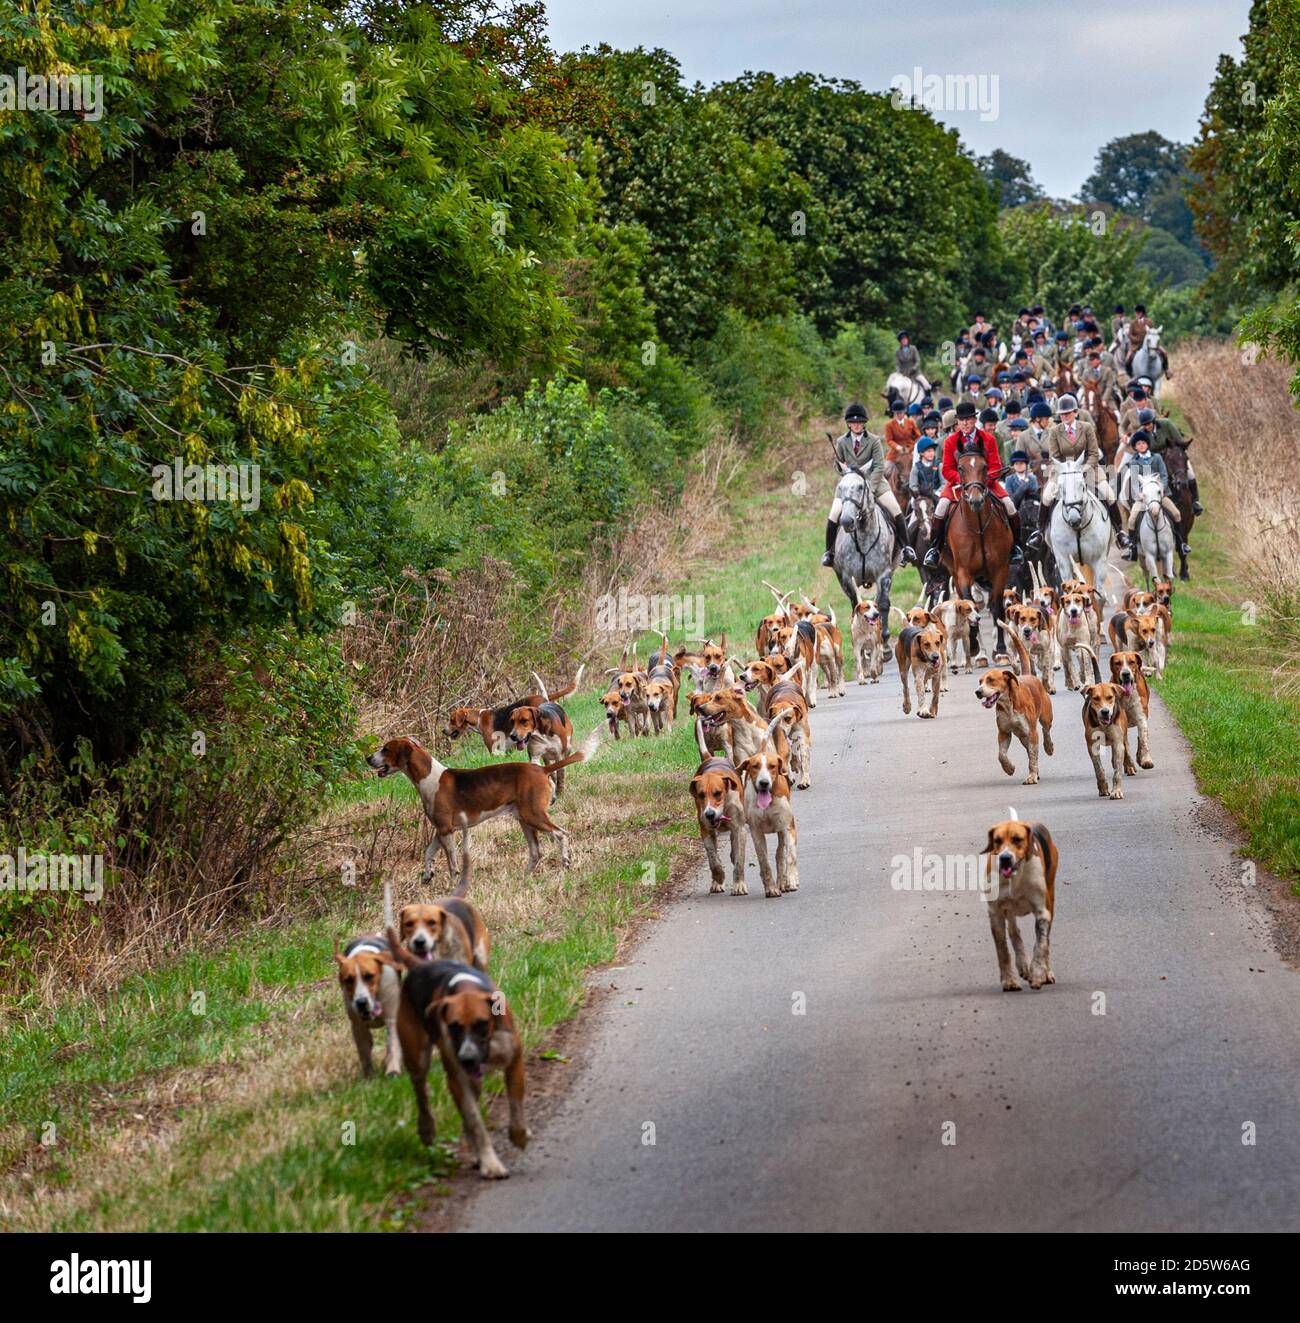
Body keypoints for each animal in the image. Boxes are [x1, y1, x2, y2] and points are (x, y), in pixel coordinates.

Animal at [830, 463, 899, 632]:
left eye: (861, 487)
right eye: (840, 487)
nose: (846, 521)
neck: (863, 537)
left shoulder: (883, 574)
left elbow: (882, 604)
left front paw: (884, 635)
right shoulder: (846, 578)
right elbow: (856, 605)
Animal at [946, 452, 1015, 661]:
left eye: (984, 467)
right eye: (960, 468)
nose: (976, 500)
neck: (978, 527)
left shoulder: (1000, 570)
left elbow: (997, 606)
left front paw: (1001, 649)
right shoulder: (963, 573)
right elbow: (968, 604)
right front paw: (975, 646)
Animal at [1042, 460, 1110, 595]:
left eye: (1082, 486)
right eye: (1061, 488)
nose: (1074, 519)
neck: (1078, 530)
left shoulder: (1099, 561)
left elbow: (1099, 594)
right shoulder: (1063, 560)